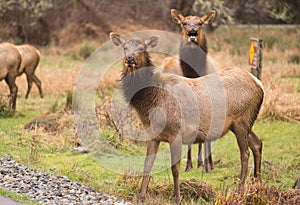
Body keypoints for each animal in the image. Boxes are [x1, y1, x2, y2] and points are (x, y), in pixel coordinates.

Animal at [163, 9, 217, 173]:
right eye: (184, 23)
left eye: (200, 23)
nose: (192, 32)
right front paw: (188, 166)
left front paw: (207, 166)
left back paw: (206, 163)